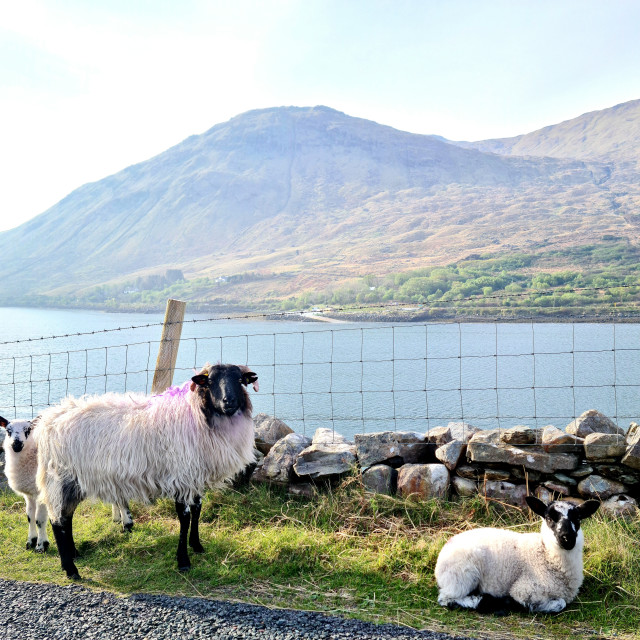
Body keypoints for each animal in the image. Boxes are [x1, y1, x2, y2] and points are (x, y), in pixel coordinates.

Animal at [0, 418, 132, 552]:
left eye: (28, 429)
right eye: (8, 431)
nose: (16, 445)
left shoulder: (42, 493)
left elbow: (39, 520)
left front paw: (41, 545)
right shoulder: (29, 494)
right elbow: (30, 517)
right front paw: (31, 541)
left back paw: (127, 524)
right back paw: (117, 519)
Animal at [35, 364, 258, 580]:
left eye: (240, 380)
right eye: (210, 381)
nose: (228, 401)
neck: (197, 414)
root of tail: (48, 420)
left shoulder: (195, 478)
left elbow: (197, 511)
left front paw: (197, 545)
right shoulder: (181, 477)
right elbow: (184, 518)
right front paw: (183, 561)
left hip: (76, 481)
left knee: (67, 517)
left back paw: (74, 554)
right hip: (60, 478)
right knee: (57, 521)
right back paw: (70, 569)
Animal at [436, 496, 600, 616]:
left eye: (577, 519)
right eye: (549, 518)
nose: (567, 538)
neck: (545, 554)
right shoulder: (525, 590)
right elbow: (560, 604)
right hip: (463, 575)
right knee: (446, 599)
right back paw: (485, 601)